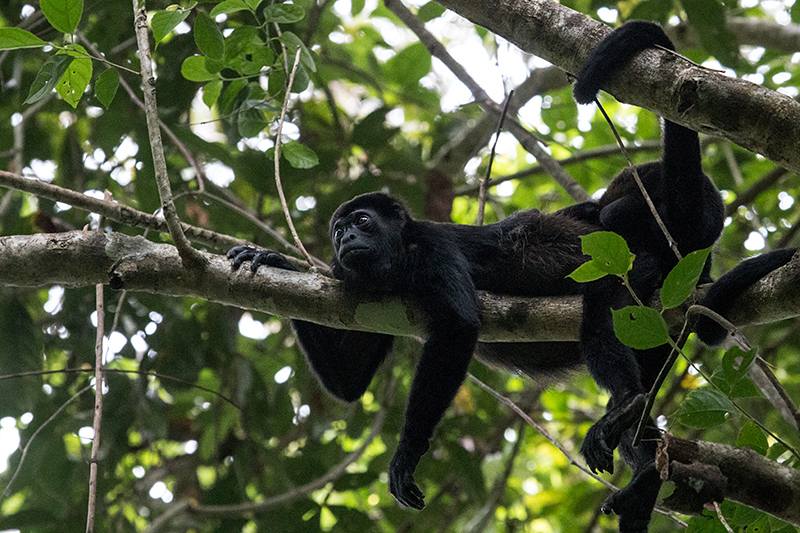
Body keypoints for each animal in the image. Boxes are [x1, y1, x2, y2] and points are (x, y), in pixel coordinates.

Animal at [225, 19, 780, 532]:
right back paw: (644, 472)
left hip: (646, 255)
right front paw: (272, 260)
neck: (396, 261)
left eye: (361, 223)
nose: (343, 240)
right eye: (339, 229)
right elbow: (348, 384)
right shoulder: (358, 290)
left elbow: (458, 327)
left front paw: (406, 456)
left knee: (605, 290)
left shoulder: (434, 247)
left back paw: (625, 405)